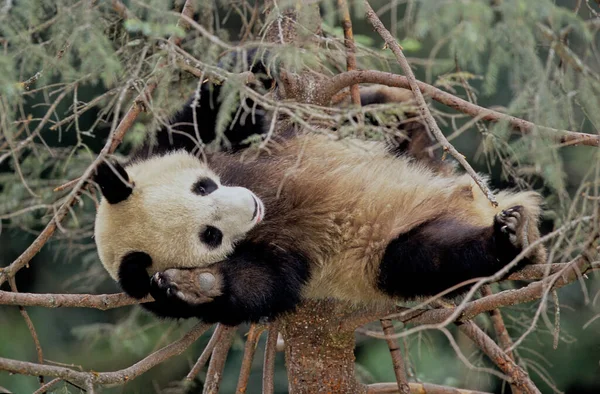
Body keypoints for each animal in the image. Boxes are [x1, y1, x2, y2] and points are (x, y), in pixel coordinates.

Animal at [91, 57, 548, 326]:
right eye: (210, 235)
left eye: (203, 186)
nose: (251, 206)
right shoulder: (270, 255)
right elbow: (262, 285)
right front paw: (196, 286)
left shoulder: (182, 144)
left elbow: (215, 114)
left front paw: (252, 66)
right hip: (387, 253)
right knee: (431, 257)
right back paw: (510, 238)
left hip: (392, 137)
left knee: (381, 113)